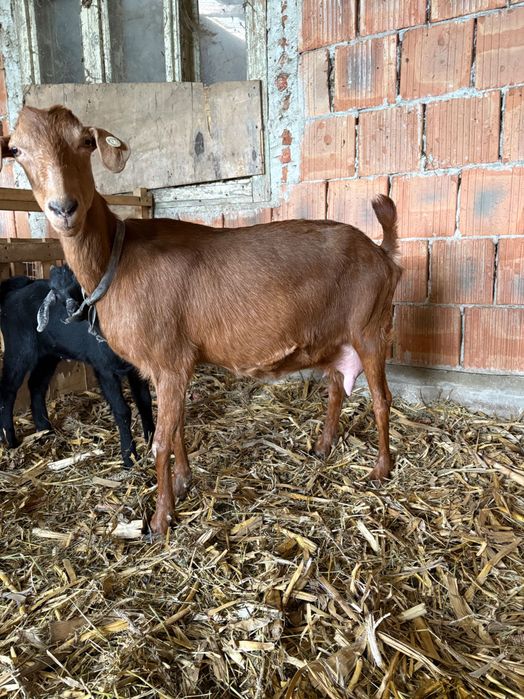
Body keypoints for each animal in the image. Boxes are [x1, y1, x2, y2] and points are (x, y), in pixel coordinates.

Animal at [0, 265, 154, 467]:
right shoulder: (104, 370)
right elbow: (122, 411)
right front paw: (129, 457)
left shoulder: (137, 370)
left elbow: (145, 402)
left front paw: (153, 443)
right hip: (19, 349)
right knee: (8, 391)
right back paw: (9, 439)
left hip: (48, 354)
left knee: (36, 385)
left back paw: (45, 430)